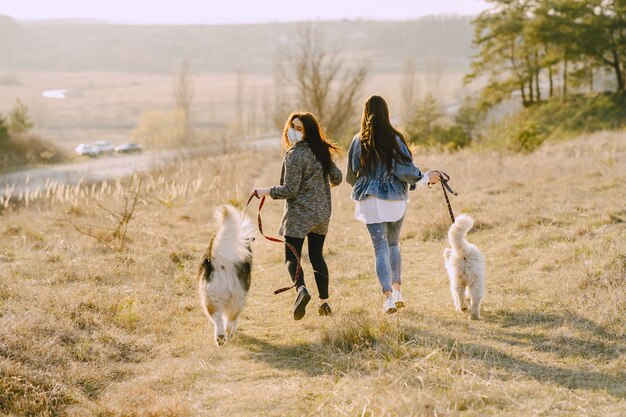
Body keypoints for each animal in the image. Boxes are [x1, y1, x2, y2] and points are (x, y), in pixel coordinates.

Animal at [196, 204, 252, 344]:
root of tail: (221, 263)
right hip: (236, 299)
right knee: (230, 319)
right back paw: (227, 334)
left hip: (210, 296)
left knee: (217, 317)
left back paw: (221, 336)